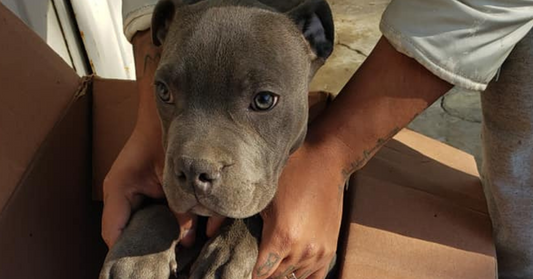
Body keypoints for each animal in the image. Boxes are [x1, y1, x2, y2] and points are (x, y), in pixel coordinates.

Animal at [100, 0, 332, 278]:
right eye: (164, 91)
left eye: (264, 99)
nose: (192, 170)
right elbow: (157, 203)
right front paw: (136, 258)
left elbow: (251, 208)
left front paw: (228, 253)